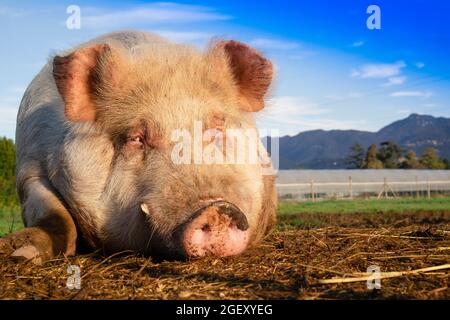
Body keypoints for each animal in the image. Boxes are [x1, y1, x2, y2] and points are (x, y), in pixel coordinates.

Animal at [0, 31, 276, 264]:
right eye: (136, 138)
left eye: (216, 129)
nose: (216, 209)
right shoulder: (29, 169)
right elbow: (57, 217)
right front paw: (21, 255)